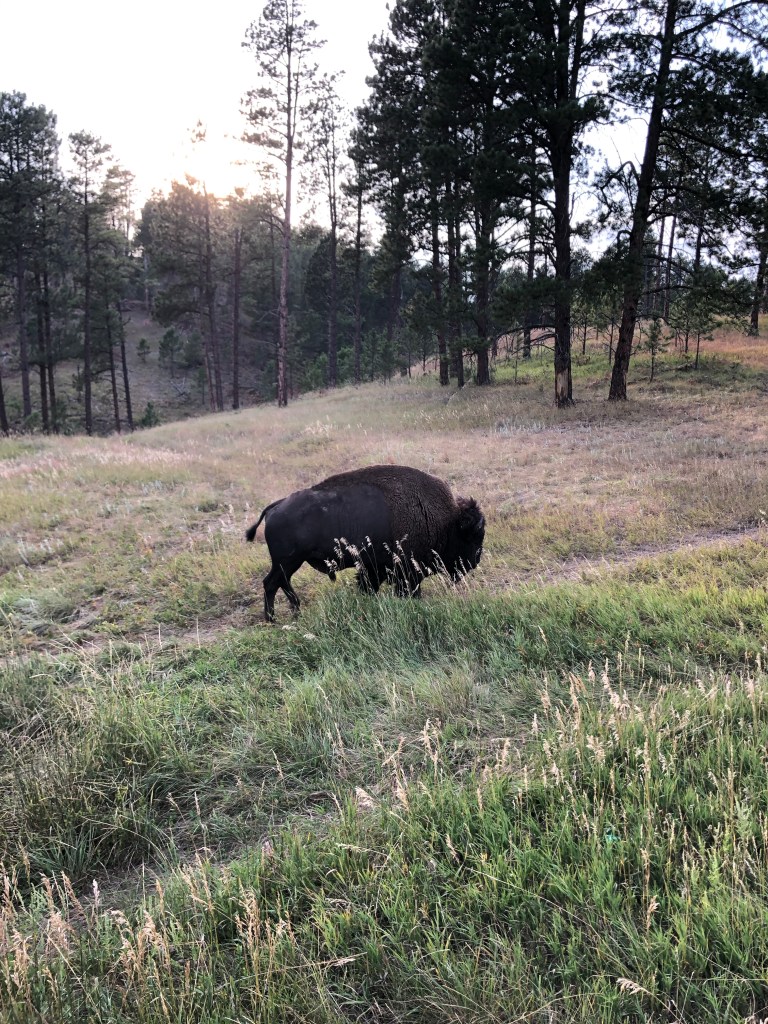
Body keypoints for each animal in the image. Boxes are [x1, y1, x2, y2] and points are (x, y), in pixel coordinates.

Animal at [246, 464, 485, 621]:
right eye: (474, 535)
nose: (475, 560)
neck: (447, 520)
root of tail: (275, 507)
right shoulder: (404, 571)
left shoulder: (375, 567)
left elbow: (368, 585)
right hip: (288, 562)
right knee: (271, 583)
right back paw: (273, 618)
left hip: (289, 563)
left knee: (280, 583)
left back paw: (294, 612)